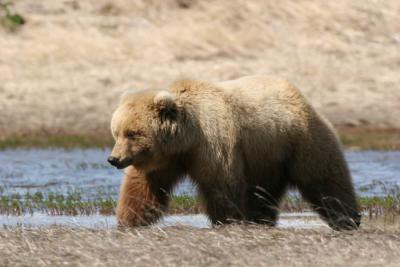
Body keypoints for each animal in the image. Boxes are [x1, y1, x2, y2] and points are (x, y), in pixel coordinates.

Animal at [108, 75, 360, 230]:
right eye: (116, 132)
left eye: (132, 133)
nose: (113, 159)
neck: (186, 141)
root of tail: (301, 96)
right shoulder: (164, 160)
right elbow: (143, 189)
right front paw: (128, 220)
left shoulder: (214, 144)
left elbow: (221, 187)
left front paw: (227, 221)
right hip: (266, 157)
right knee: (262, 193)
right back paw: (261, 220)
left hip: (299, 141)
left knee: (324, 179)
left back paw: (347, 218)